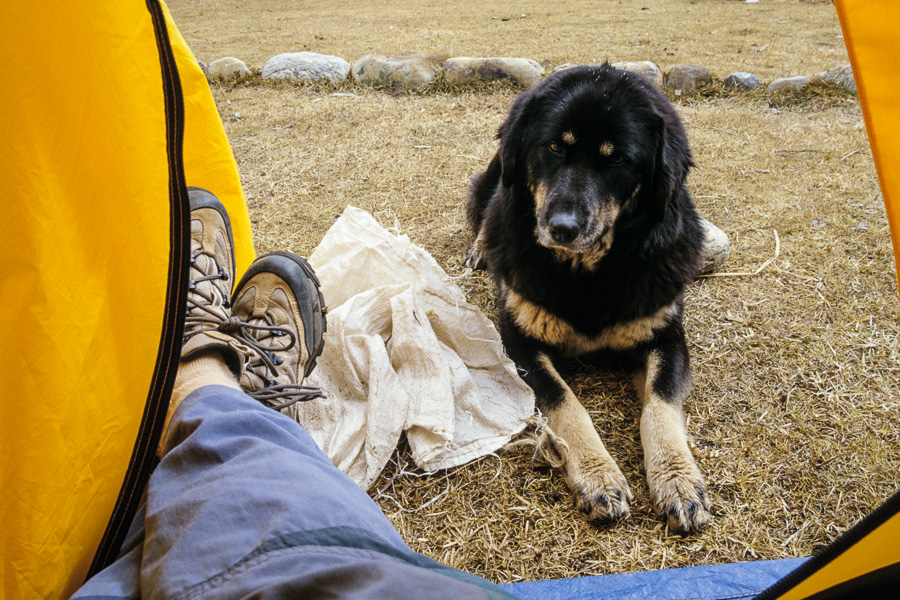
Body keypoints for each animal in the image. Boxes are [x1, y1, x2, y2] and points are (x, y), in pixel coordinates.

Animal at [468, 64, 712, 536]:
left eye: (616, 160)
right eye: (553, 147)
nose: (562, 227)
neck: (588, 274)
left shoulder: (665, 336)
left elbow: (660, 405)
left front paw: (677, 478)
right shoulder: (519, 343)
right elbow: (567, 405)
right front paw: (599, 476)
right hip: (491, 180)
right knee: (484, 216)